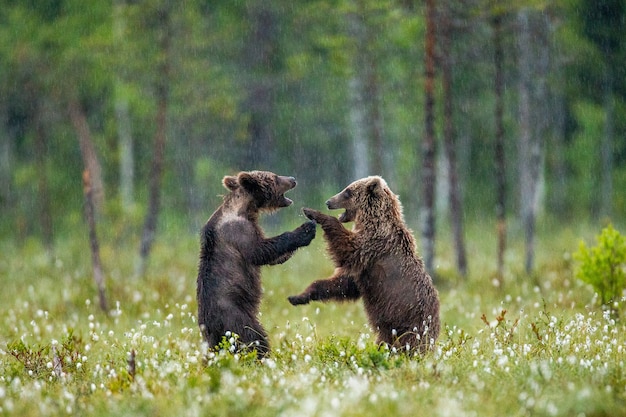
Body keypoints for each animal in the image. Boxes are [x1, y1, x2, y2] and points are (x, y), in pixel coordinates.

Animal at [197, 171, 314, 356]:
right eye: (275, 178)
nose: (292, 179)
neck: (245, 208)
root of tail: (209, 325)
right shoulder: (239, 231)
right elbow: (260, 251)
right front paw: (306, 229)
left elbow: (273, 256)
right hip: (235, 315)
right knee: (254, 337)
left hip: (213, 337)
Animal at [288, 175, 438, 352]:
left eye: (347, 191)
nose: (328, 202)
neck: (370, 220)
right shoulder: (363, 269)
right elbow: (343, 284)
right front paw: (298, 297)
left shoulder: (373, 245)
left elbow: (347, 248)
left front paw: (312, 212)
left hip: (410, 321)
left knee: (409, 343)